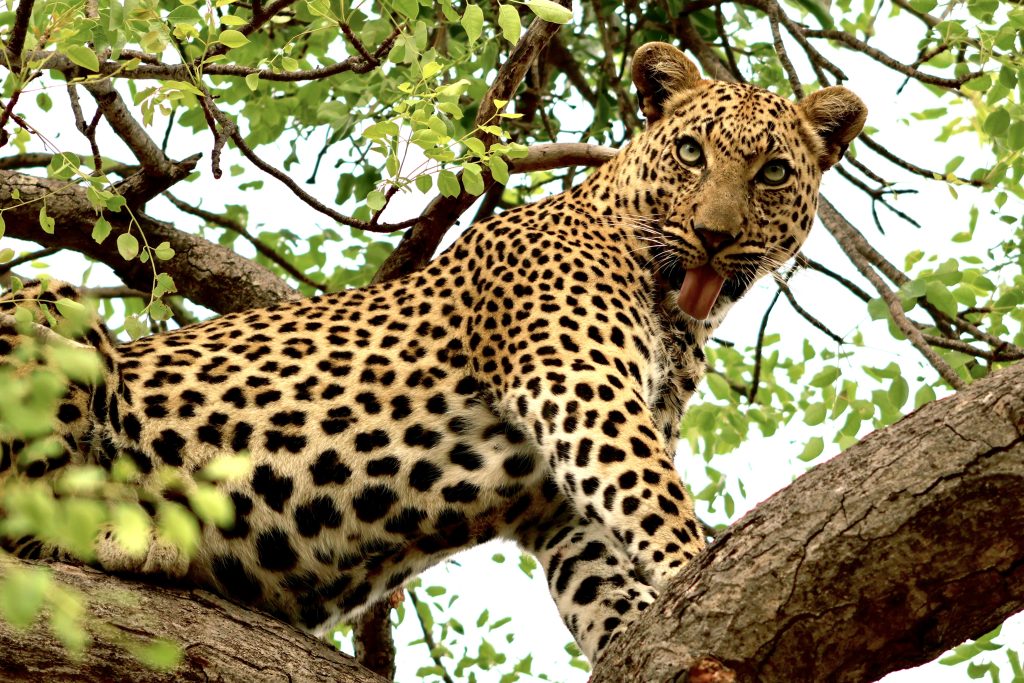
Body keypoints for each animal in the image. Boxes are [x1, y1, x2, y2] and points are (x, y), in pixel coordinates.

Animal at [0, 42, 866, 664]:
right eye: (690, 153)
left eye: (773, 171)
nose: (714, 236)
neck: (675, 316)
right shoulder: (575, 382)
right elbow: (655, 500)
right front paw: (696, 565)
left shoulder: (558, 503)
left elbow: (605, 574)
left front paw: (640, 623)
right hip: (52, 310)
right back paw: (129, 533)